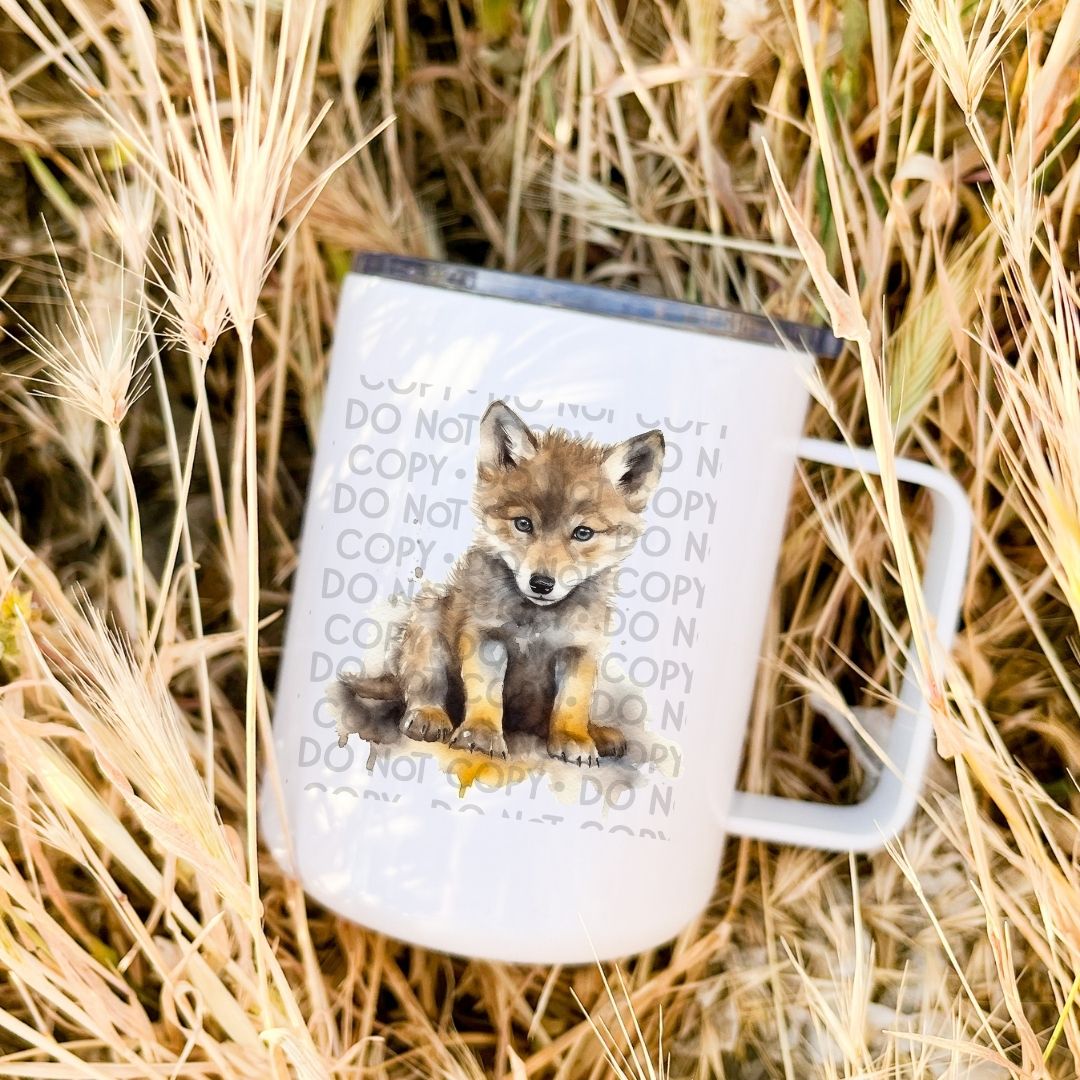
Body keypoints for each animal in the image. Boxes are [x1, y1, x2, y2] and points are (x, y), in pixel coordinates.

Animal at [329, 400, 665, 766]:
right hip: (427, 622)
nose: (541, 583)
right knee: (423, 689)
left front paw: (574, 738)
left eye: (583, 533)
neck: (536, 622)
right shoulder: (485, 635)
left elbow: (572, 705)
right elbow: (486, 694)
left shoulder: (580, 649)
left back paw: (598, 734)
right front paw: (481, 734)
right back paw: (429, 716)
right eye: (523, 524)